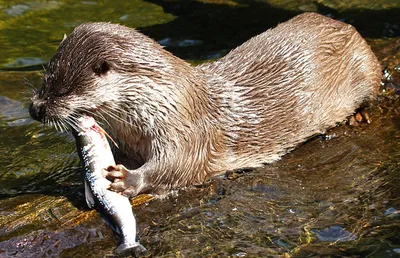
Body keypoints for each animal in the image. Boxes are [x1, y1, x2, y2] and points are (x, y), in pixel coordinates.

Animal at [28, 12, 382, 197]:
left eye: (62, 90)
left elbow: (177, 165)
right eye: (46, 77)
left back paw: (359, 116)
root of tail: (343, 24)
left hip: (365, 66)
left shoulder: (187, 129)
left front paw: (127, 180)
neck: (159, 100)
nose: (35, 108)